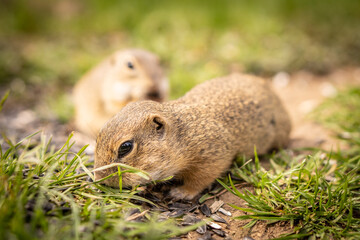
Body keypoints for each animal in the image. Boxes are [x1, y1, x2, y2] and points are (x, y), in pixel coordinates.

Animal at [94, 73, 292, 201]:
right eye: (98, 136)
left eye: (125, 147)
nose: (98, 178)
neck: (182, 134)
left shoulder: (211, 157)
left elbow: (199, 180)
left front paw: (180, 193)